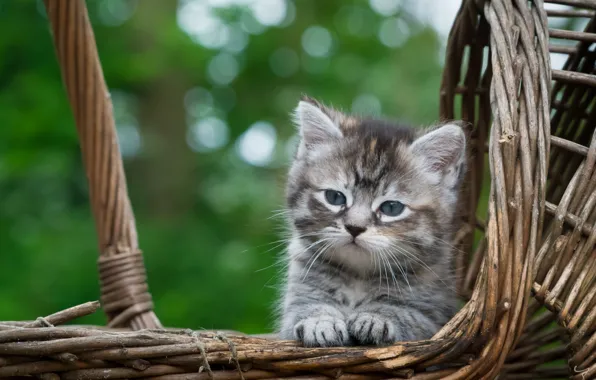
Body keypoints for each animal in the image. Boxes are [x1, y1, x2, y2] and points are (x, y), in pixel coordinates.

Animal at [278, 95, 468, 348]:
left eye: (391, 208)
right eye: (335, 197)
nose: (355, 227)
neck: (359, 276)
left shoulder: (435, 316)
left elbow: (408, 315)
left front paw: (375, 318)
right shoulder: (297, 296)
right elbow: (303, 310)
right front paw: (320, 320)